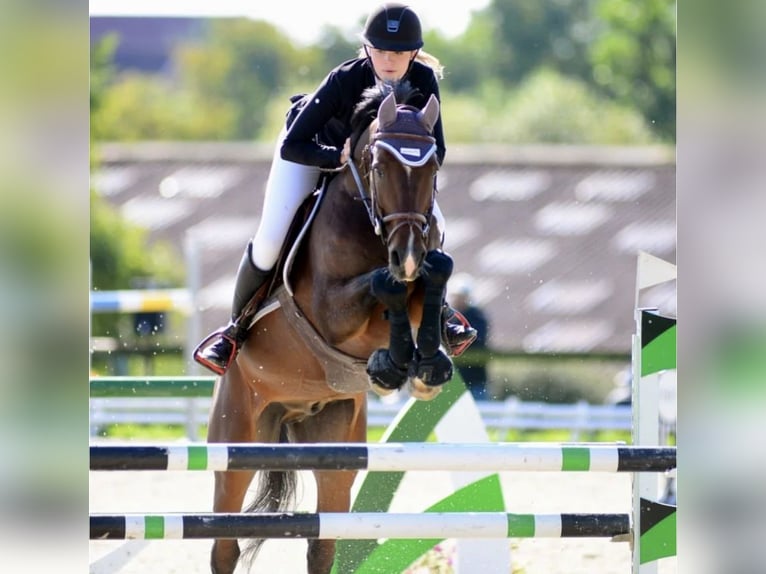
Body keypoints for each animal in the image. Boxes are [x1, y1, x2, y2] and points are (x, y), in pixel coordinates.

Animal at [207, 82, 456, 574]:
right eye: (380, 166)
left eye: (433, 166)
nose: (407, 254)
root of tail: (292, 411)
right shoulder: (331, 310)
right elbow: (382, 284)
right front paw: (392, 364)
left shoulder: (421, 274)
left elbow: (435, 275)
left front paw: (423, 366)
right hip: (236, 443)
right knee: (223, 546)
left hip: (335, 447)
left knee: (322, 544)